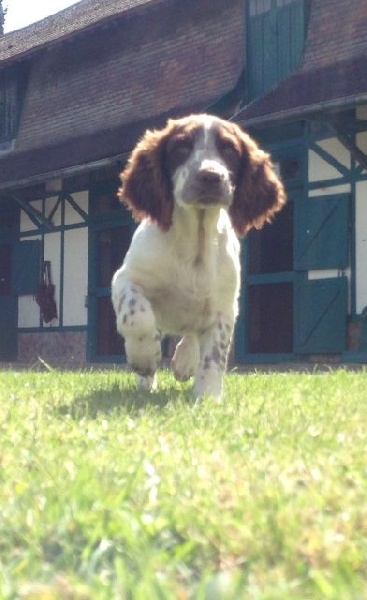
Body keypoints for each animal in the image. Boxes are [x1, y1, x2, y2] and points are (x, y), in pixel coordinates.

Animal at [110, 115, 286, 400]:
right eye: (181, 148)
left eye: (229, 150)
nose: (210, 176)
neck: (195, 242)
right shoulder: (125, 279)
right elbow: (138, 314)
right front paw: (144, 357)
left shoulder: (225, 306)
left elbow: (215, 355)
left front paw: (207, 397)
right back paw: (147, 380)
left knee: (193, 334)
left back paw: (185, 362)